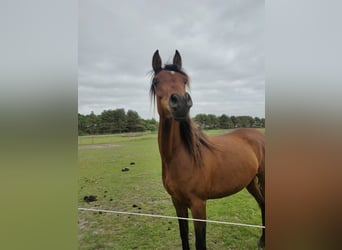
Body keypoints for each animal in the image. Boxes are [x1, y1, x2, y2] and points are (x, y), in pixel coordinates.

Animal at [149, 49, 264, 249]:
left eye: (184, 80)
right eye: (156, 81)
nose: (181, 103)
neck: (180, 157)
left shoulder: (198, 205)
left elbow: (200, 243)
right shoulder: (177, 203)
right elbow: (184, 236)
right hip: (250, 182)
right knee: (262, 204)